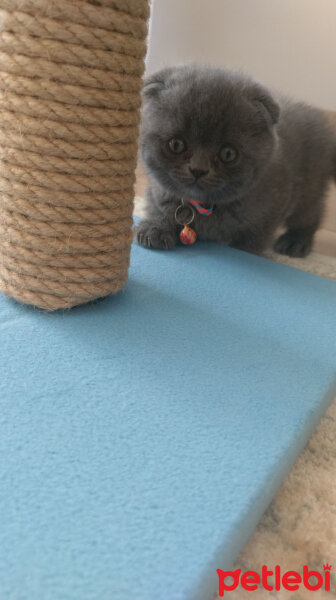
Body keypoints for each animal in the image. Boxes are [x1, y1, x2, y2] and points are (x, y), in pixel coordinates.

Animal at [136, 66, 336, 258]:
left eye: (228, 153)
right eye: (176, 144)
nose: (198, 169)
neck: (205, 206)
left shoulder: (271, 211)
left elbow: (250, 241)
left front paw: (243, 250)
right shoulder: (158, 191)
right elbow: (157, 207)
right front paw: (155, 228)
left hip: (309, 188)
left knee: (310, 215)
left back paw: (296, 242)